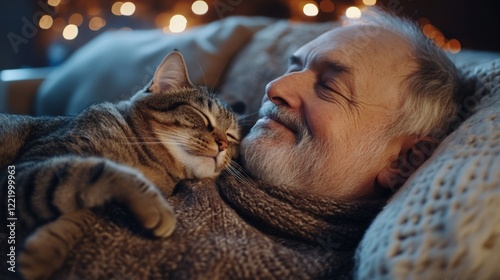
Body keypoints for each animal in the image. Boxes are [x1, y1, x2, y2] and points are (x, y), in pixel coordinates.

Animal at [0, 51, 242, 278]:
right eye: (201, 115)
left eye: (231, 136)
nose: (222, 144)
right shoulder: (29, 166)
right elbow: (99, 170)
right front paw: (154, 206)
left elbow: (81, 212)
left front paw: (46, 249)